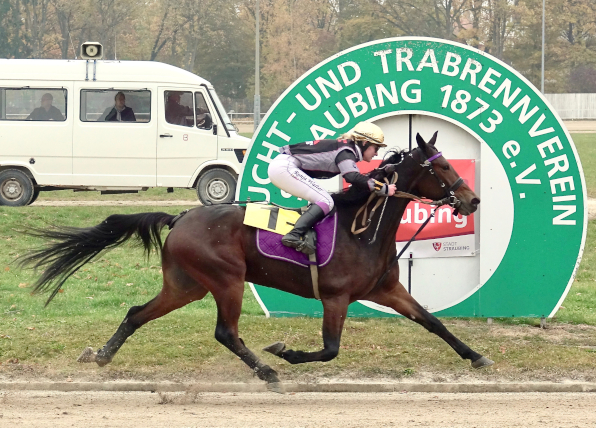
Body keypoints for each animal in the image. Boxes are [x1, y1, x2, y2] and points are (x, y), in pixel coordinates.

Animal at [19, 132, 494, 392]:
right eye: (441, 167)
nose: (472, 200)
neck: (364, 229)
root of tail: (181, 216)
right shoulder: (336, 298)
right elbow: (330, 350)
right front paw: (284, 352)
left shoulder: (388, 290)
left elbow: (433, 322)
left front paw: (476, 357)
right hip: (226, 280)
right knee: (226, 333)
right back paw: (267, 371)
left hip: (186, 285)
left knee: (137, 312)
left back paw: (101, 356)